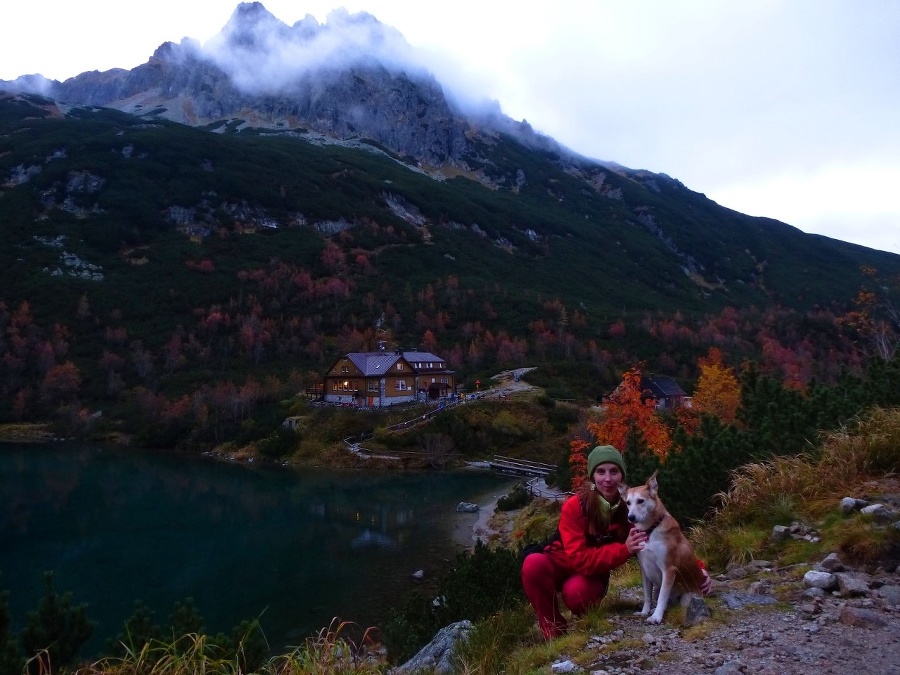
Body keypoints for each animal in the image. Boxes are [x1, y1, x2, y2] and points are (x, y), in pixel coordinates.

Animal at [624, 472, 708, 624]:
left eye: (640, 501)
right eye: (628, 502)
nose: (630, 517)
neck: (650, 530)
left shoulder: (668, 570)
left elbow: (662, 598)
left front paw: (656, 617)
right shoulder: (645, 570)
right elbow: (647, 596)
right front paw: (644, 612)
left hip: (687, 597)